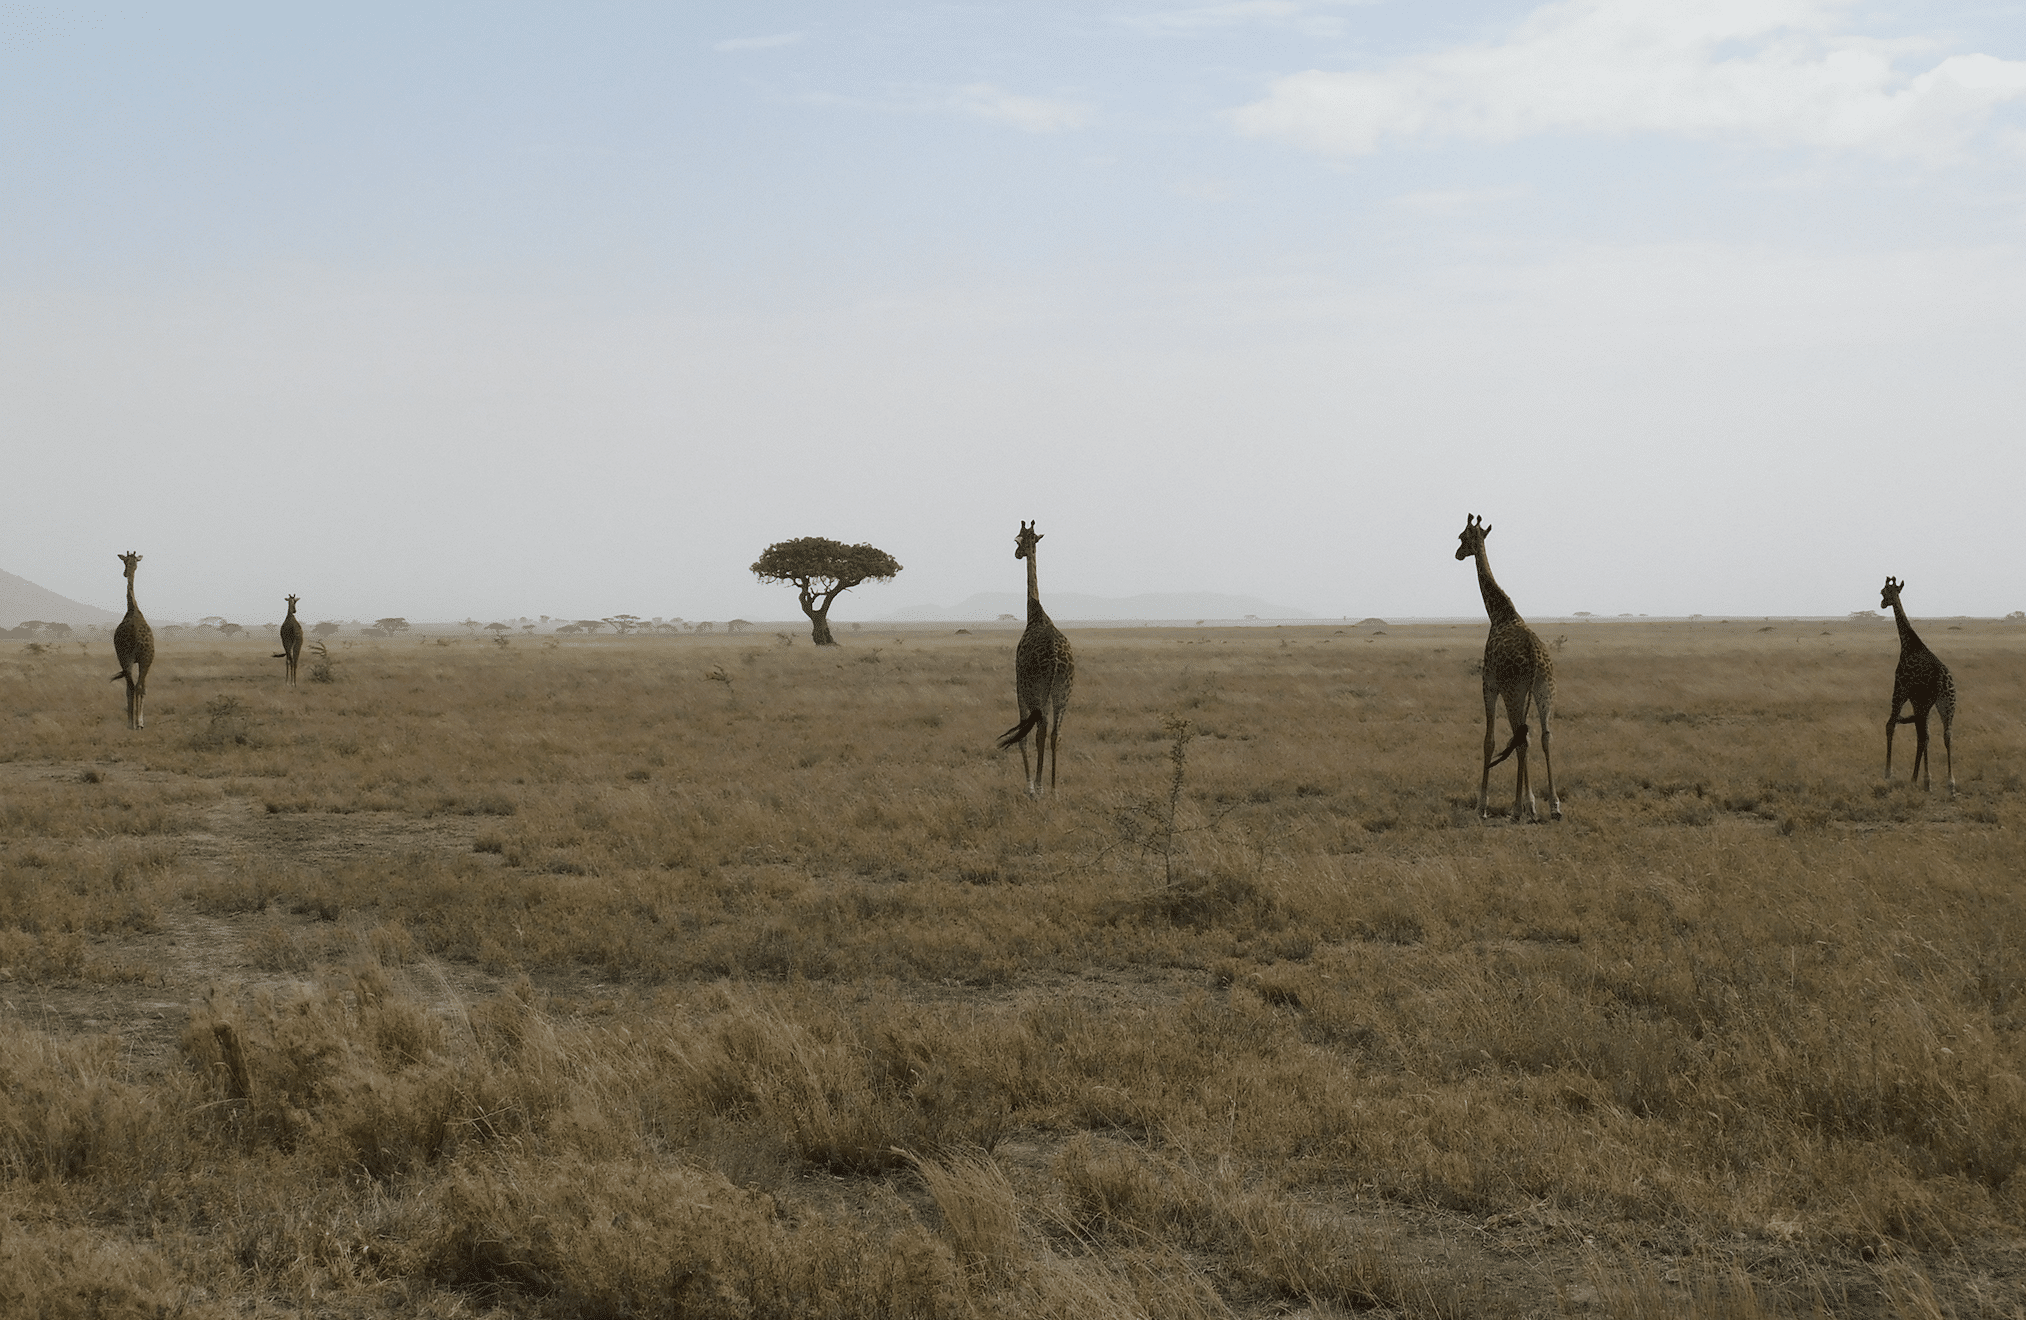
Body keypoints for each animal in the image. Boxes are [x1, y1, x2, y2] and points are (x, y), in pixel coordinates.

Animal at [996, 522, 1077, 797]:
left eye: (1017, 540)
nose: (1017, 554)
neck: (1035, 613)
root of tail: (1056, 658)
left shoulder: (1020, 684)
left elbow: (1023, 735)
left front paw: (1030, 786)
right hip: (1064, 690)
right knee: (1055, 733)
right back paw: (1052, 789)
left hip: (1040, 689)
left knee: (1041, 730)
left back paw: (1040, 787)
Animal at [1458, 518, 1564, 817]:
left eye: (1462, 537)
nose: (1457, 554)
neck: (1499, 614)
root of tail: (1536, 658)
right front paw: (1531, 803)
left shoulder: (1489, 684)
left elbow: (1489, 740)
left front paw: (1483, 804)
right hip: (1544, 690)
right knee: (1545, 736)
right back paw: (1553, 805)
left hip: (1514, 692)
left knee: (1522, 739)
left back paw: (1517, 808)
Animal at [1872, 574, 1953, 793]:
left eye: (1883, 591)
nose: (1882, 603)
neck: (1909, 643)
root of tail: (1943, 678)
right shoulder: (1918, 701)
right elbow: (1925, 736)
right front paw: (1925, 779)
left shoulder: (1900, 689)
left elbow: (1890, 725)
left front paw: (1888, 773)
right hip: (1946, 704)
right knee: (1946, 735)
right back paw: (1949, 783)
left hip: (1924, 702)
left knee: (1922, 735)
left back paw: (1919, 779)